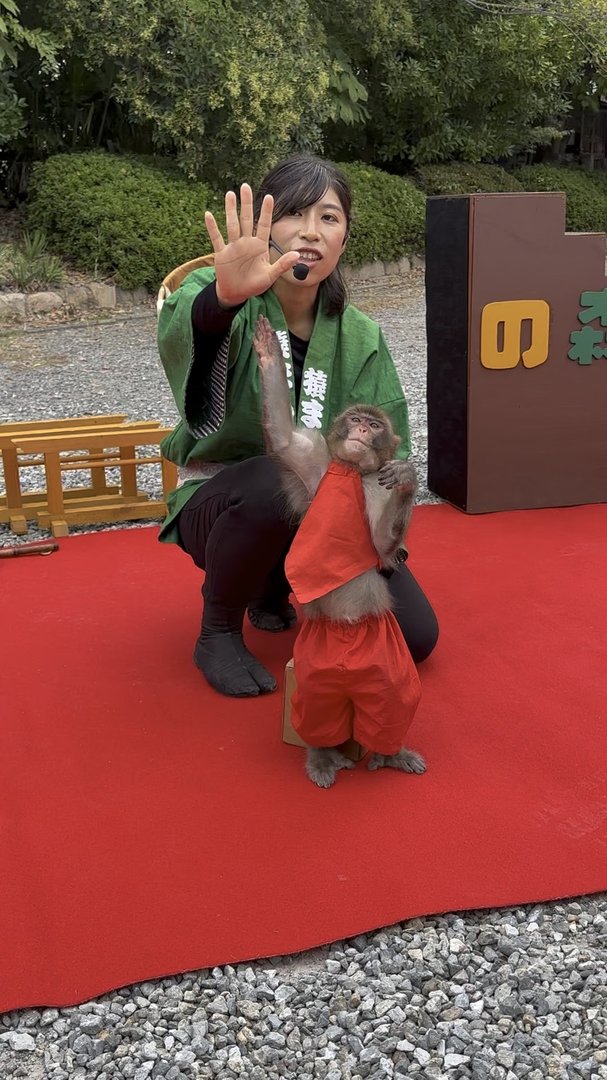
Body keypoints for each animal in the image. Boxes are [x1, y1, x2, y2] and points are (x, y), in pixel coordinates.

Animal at [250, 315, 425, 790]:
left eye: (375, 425)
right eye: (357, 419)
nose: (362, 430)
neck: (351, 472)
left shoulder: (378, 493)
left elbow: (382, 545)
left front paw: (408, 478)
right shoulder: (313, 462)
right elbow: (282, 437)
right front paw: (269, 353)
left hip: (382, 650)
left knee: (392, 697)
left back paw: (390, 753)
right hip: (315, 658)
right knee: (316, 704)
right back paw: (323, 755)